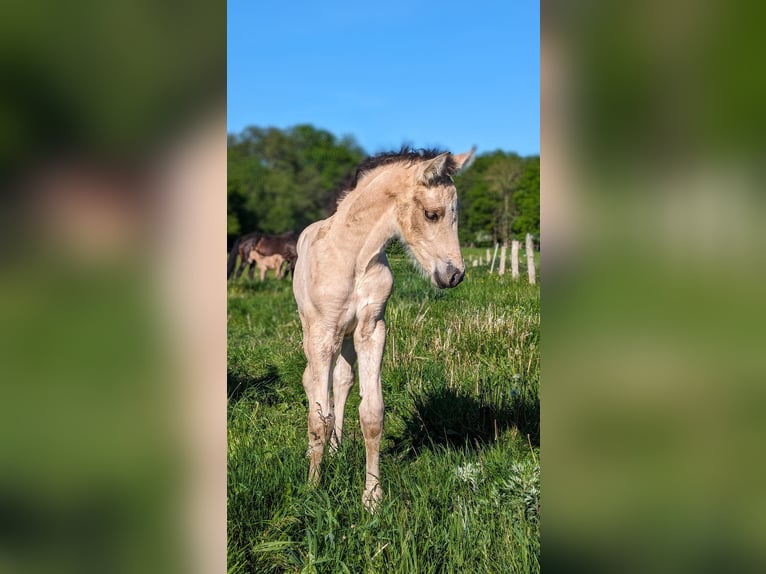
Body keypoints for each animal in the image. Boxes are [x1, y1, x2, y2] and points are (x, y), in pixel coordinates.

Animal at [292, 148, 474, 512]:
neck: (352, 257)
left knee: (342, 381)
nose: (454, 276)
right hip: (312, 331)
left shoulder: (371, 329)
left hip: (347, 338)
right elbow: (318, 417)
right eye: (432, 214)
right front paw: (312, 488)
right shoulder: (323, 333)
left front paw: (372, 498)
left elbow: (372, 414)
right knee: (311, 382)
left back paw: (336, 450)